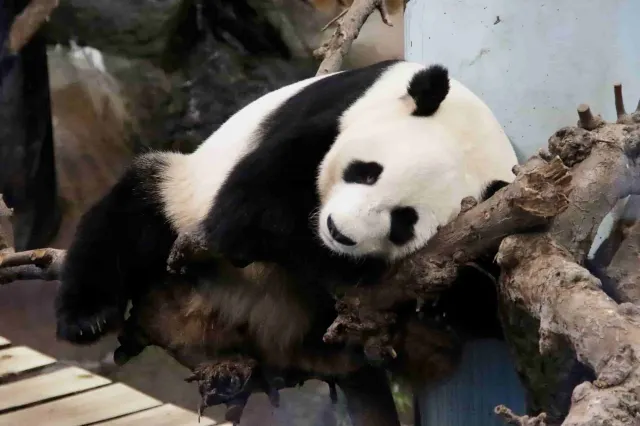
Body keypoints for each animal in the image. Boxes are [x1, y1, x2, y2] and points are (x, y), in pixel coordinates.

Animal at [52, 59, 516, 372]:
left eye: (404, 221)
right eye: (367, 172)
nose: (339, 233)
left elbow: (488, 307)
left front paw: (436, 298)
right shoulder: (333, 115)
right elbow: (248, 212)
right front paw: (342, 267)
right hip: (182, 194)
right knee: (129, 214)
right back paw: (87, 316)